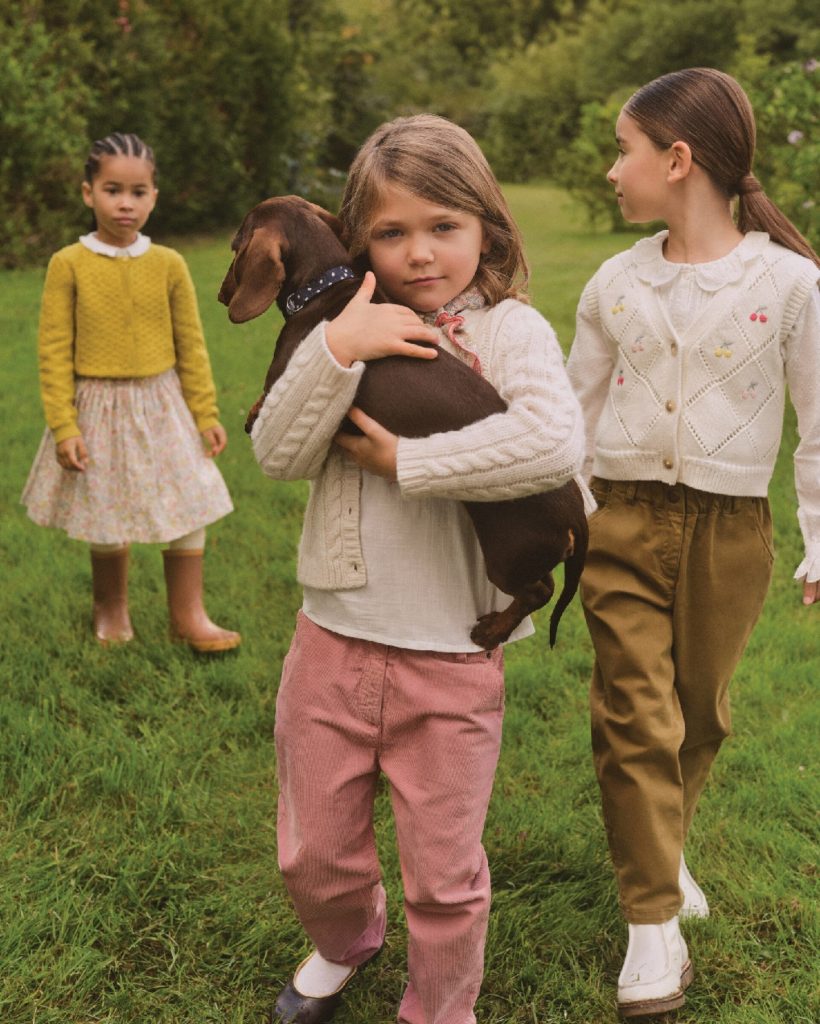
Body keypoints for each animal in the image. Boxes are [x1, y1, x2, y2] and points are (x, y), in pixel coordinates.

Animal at [218, 195, 588, 649]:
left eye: (235, 246)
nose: (220, 295)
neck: (327, 289)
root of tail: (576, 512)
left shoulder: (282, 373)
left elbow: (268, 396)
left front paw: (253, 414)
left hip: (508, 552)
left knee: (539, 590)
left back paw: (491, 630)